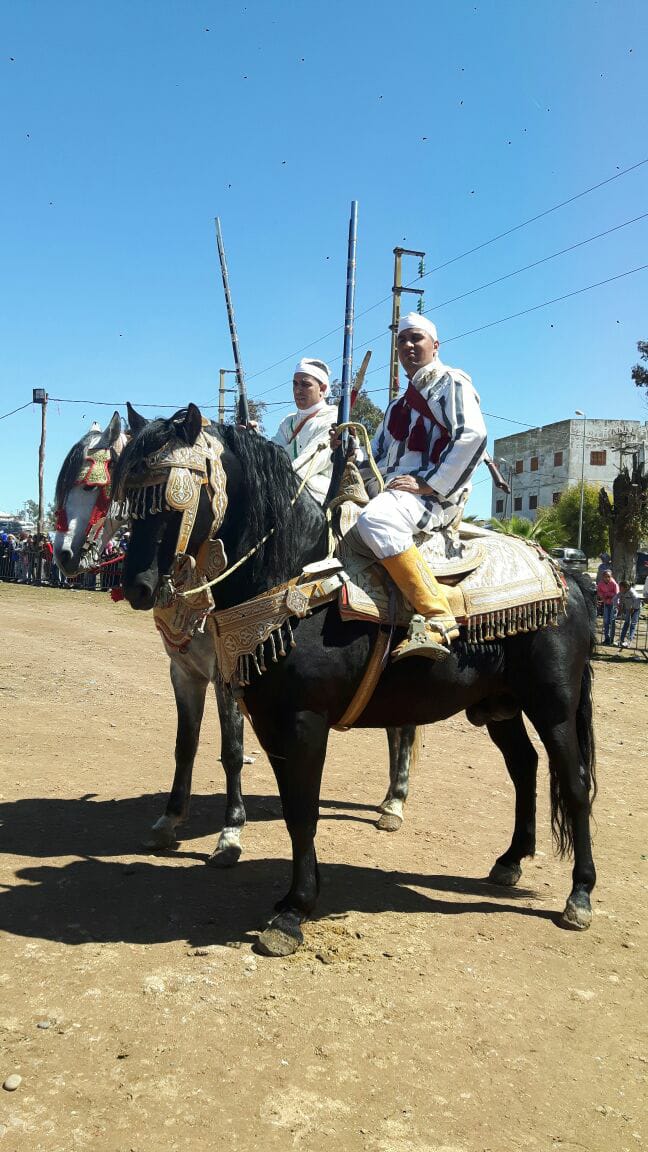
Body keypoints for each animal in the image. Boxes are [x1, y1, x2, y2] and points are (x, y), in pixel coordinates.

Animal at [52, 411, 419, 862]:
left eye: (92, 485)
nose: (63, 555)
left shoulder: (231, 671)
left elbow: (233, 751)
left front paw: (230, 833)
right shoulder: (185, 672)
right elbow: (186, 744)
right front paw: (169, 820)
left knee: (404, 728)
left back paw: (394, 802)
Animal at [116, 405, 598, 957]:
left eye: (170, 495)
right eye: (131, 497)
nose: (138, 587)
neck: (296, 579)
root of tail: (566, 576)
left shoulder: (303, 722)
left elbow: (304, 810)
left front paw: (294, 912)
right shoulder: (269, 720)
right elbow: (290, 806)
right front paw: (292, 898)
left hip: (553, 707)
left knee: (575, 782)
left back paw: (580, 895)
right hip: (500, 707)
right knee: (525, 768)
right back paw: (511, 860)